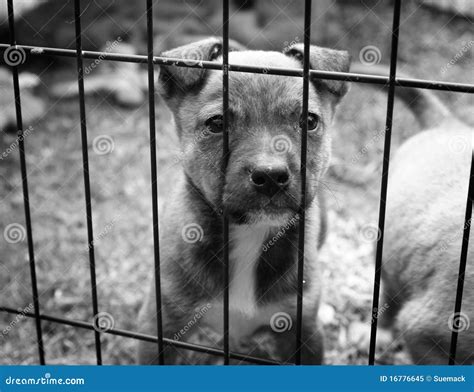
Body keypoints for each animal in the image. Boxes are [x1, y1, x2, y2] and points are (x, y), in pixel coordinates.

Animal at [136, 37, 348, 364]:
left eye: (309, 121)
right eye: (217, 123)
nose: (271, 176)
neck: (250, 233)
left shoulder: (303, 331)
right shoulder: (159, 328)